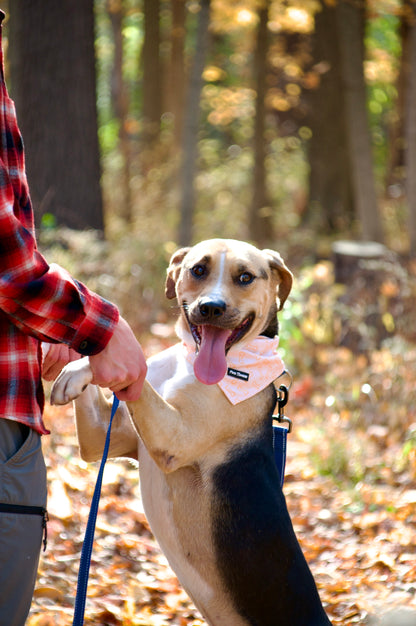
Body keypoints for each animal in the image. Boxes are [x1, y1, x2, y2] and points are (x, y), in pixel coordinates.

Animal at [51, 239, 332, 624]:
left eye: (245, 277)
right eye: (198, 269)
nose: (211, 308)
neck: (190, 360)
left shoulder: (173, 439)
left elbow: (134, 371)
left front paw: (86, 364)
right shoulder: (100, 436)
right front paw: (70, 356)